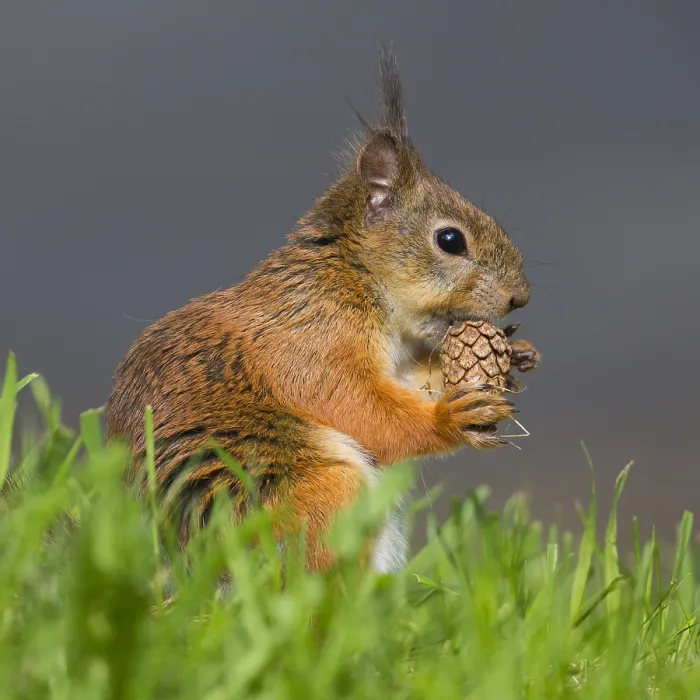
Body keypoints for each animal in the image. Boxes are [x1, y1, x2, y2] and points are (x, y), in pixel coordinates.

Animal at [104, 47, 540, 573]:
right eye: (451, 240)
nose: (521, 296)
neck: (353, 279)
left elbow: (409, 381)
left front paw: (516, 355)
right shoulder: (313, 343)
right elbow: (363, 409)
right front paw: (450, 420)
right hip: (315, 495)